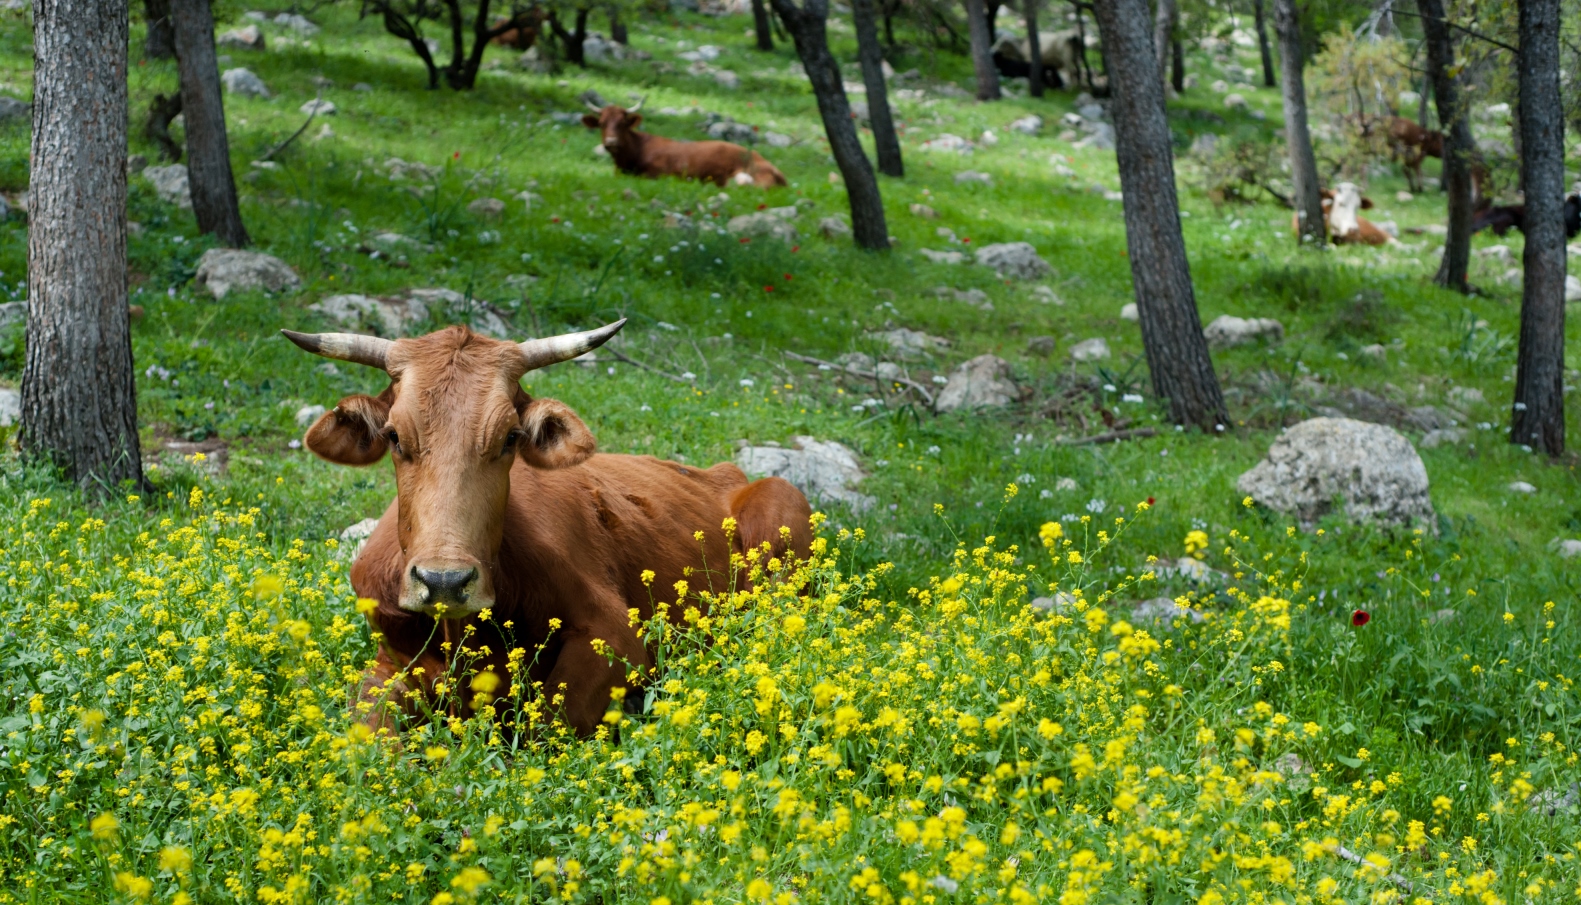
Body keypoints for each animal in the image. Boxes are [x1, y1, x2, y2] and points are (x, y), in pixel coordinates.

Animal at [283, 322, 813, 736]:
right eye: (394, 436)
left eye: (509, 438)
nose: (444, 581)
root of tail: (725, 472)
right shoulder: (388, 660)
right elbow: (366, 733)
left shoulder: (615, 635)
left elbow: (550, 726)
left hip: (782, 508)